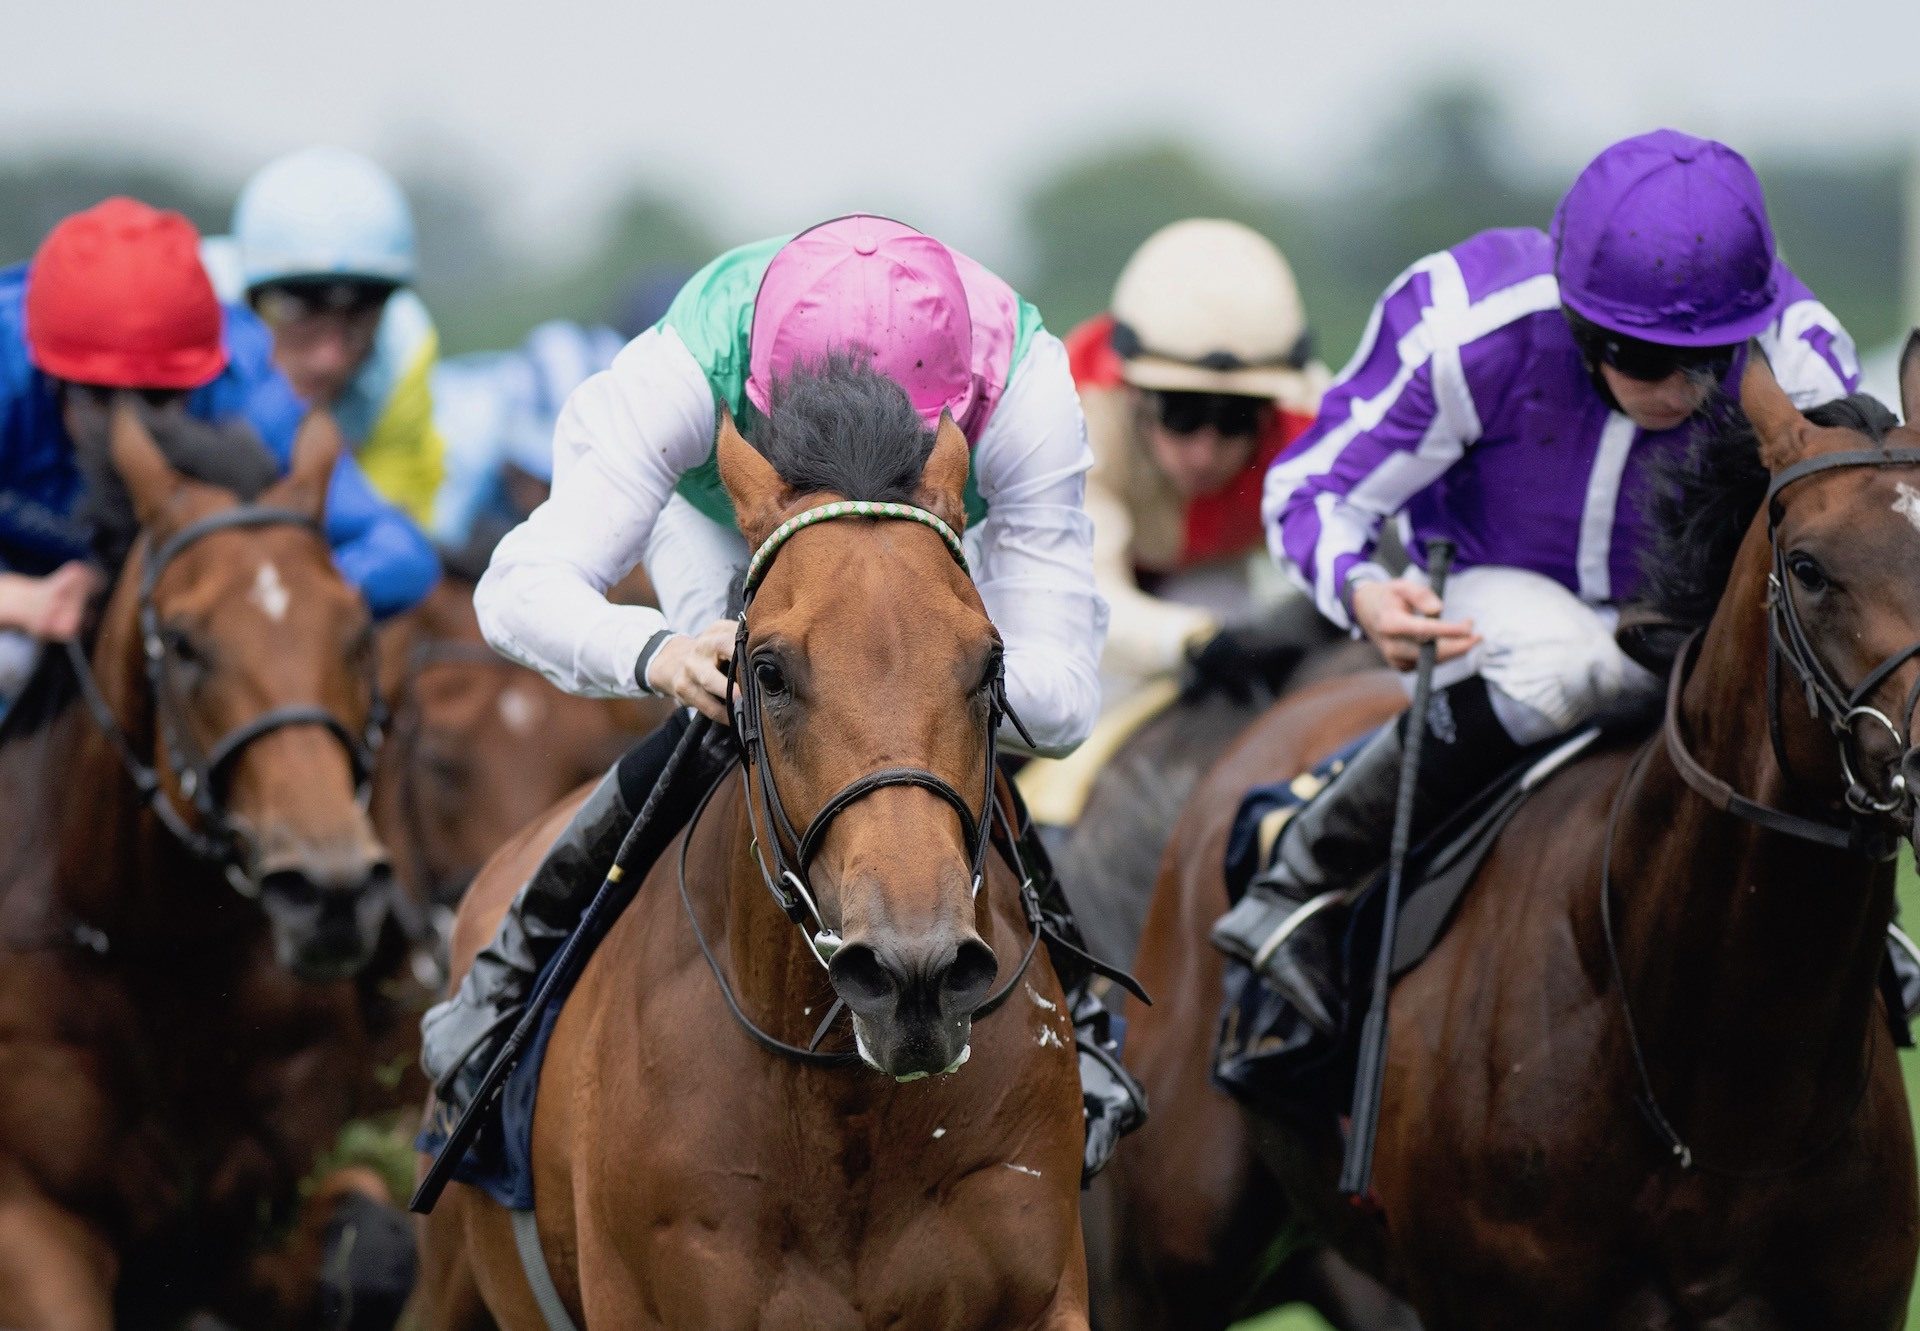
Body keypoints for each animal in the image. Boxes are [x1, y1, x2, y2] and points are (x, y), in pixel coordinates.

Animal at [0, 399, 414, 1321]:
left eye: (359, 631)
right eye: (184, 643)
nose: (329, 891)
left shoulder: (245, 1224)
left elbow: (371, 1249)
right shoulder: (33, 1219)